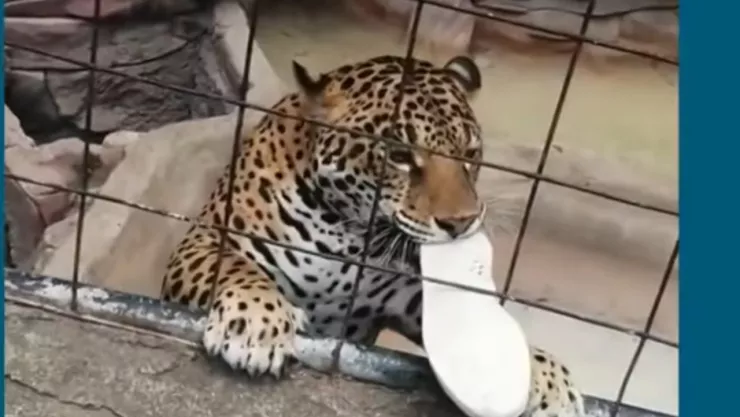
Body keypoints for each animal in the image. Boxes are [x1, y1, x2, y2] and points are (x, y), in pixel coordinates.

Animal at [161, 54, 585, 416]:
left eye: (470, 153)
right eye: (399, 156)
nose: (462, 222)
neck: (345, 231)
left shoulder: (408, 297)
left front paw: (545, 376)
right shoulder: (204, 241)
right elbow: (236, 268)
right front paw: (255, 324)